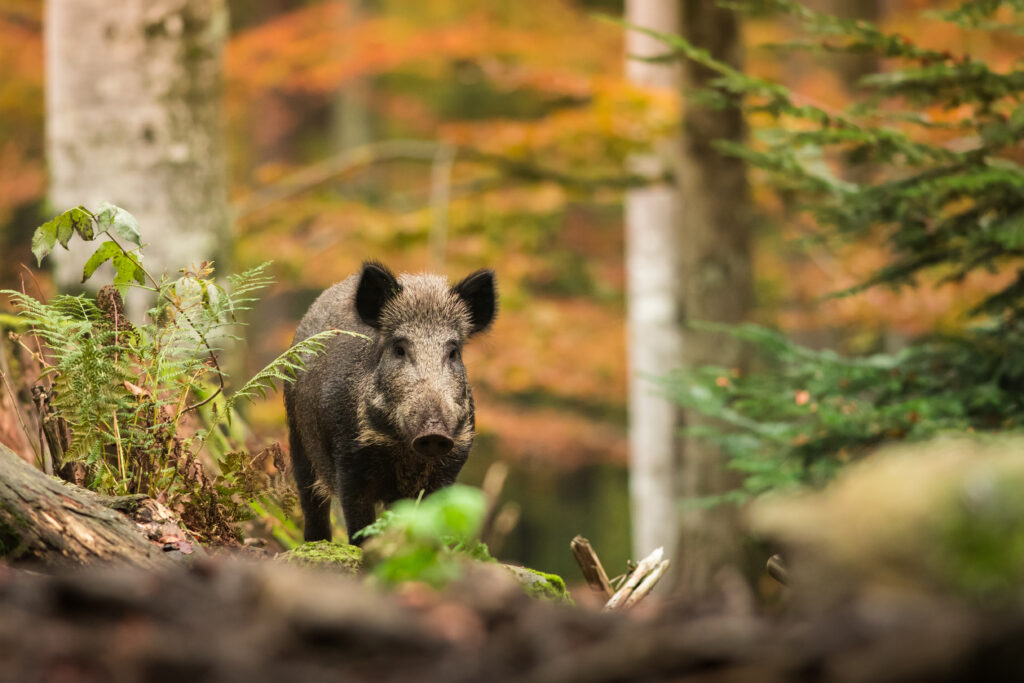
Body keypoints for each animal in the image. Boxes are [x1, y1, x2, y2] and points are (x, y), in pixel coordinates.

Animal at [284, 262, 497, 544]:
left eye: (453, 352)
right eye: (399, 349)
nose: (434, 432)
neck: (403, 448)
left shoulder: (452, 461)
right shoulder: (349, 460)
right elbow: (359, 525)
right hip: (297, 438)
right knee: (312, 502)